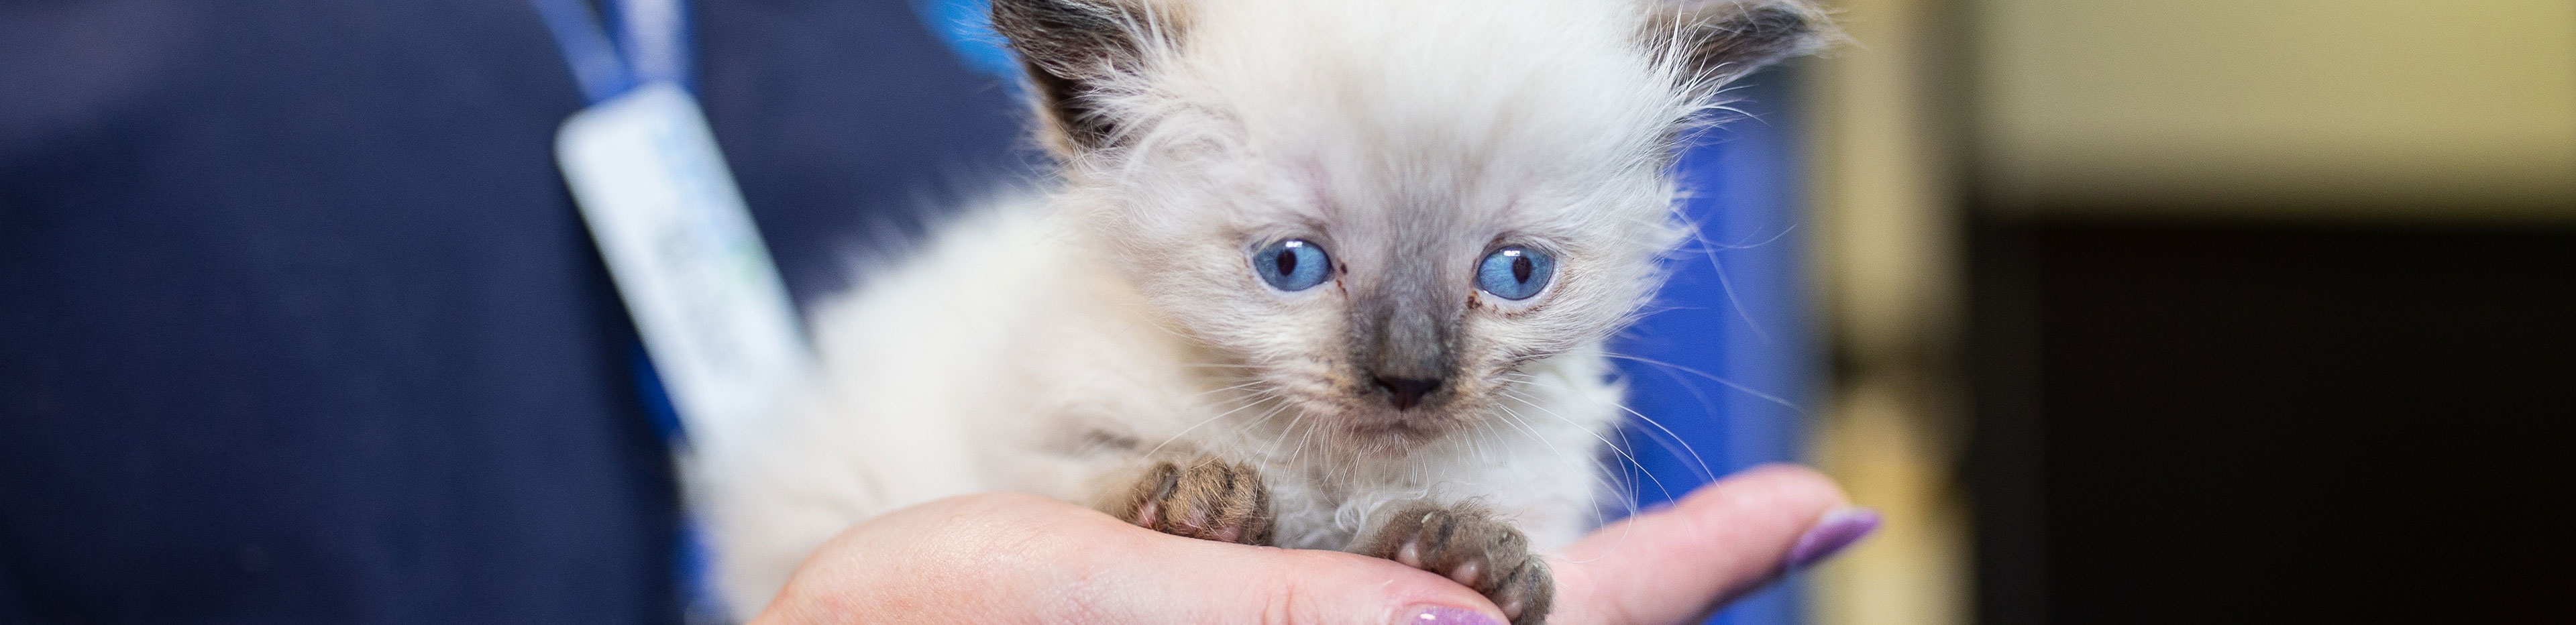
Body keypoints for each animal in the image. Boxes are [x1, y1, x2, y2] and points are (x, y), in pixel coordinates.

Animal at [700, 1, 1834, 620]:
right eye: (1292, 264)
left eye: (1516, 274)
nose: (1409, 379)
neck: (1329, 476)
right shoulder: (1035, 439)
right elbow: (1090, 475)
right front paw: (1194, 497)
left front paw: (1468, 553)